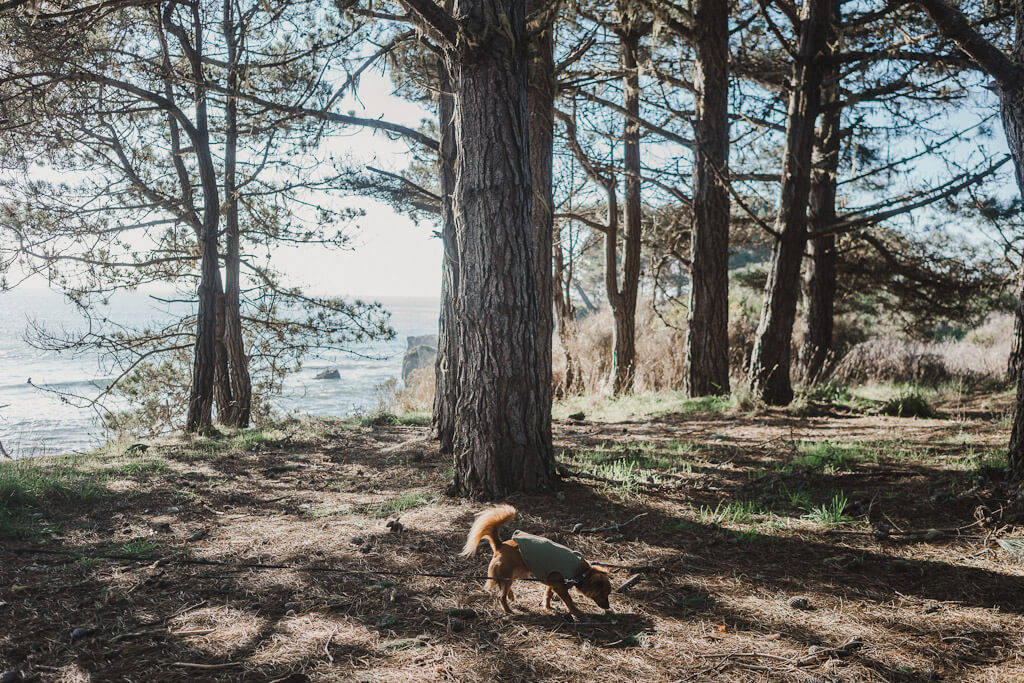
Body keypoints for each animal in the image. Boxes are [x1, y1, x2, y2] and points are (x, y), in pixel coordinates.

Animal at [460, 501, 610, 618]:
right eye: (604, 594)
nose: (608, 607)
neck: (582, 572)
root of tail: (500, 544)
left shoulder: (553, 583)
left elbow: (548, 595)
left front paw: (548, 607)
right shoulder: (560, 586)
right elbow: (569, 600)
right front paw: (577, 612)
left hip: (509, 575)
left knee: (503, 588)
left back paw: (511, 596)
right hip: (507, 575)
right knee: (501, 596)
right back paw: (509, 611)